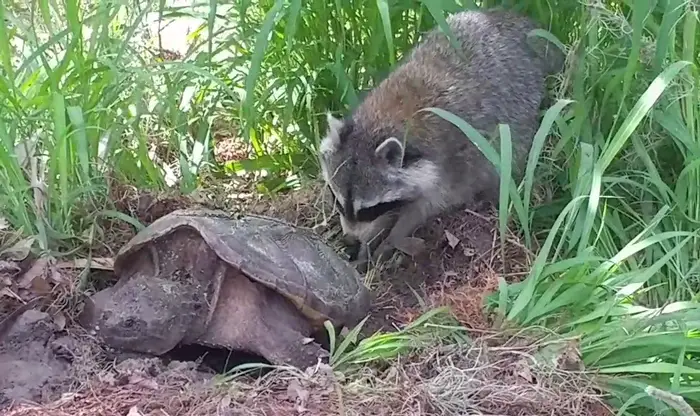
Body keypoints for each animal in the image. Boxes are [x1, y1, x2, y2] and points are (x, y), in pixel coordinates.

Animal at [318, 8, 564, 264]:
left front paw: (390, 239)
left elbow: (425, 207)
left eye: (367, 210)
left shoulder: (455, 163)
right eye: (337, 201)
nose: (349, 242)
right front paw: (368, 242)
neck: (382, 121)